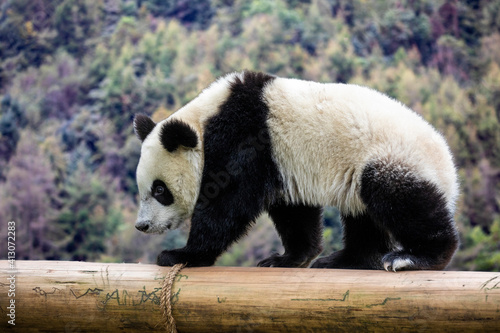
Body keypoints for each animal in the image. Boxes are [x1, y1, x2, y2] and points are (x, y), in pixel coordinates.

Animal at [134, 70, 460, 270]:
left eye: (160, 190)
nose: (142, 226)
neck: (204, 120)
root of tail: (449, 169)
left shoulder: (244, 138)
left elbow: (226, 203)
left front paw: (182, 254)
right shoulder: (281, 162)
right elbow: (293, 211)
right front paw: (288, 258)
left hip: (393, 157)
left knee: (399, 199)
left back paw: (415, 257)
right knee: (363, 214)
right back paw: (345, 259)